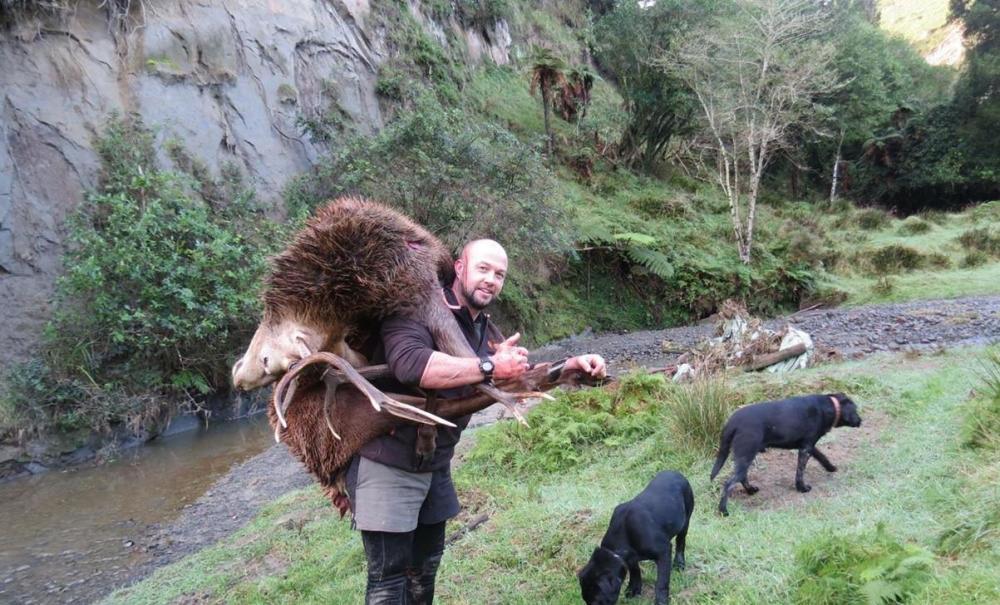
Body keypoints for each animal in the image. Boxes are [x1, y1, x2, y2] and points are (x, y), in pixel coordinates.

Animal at [580, 472, 696, 604]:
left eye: (596, 602)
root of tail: (677, 473)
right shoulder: (630, 557)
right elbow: (635, 570)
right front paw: (633, 589)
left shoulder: (663, 551)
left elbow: (662, 582)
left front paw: (660, 601)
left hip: (686, 518)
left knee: (681, 540)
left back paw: (679, 563)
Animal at [712, 392, 860, 516]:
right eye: (856, 409)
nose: (860, 421)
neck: (830, 406)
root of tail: (732, 422)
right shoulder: (806, 448)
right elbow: (800, 472)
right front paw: (802, 488)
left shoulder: (808, 445)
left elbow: (821, 456)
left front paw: (830, 467)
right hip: (746, 455)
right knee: (729, 484)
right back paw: (723, 511)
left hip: (745, 457)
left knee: (741, 477)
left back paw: (750, 490)